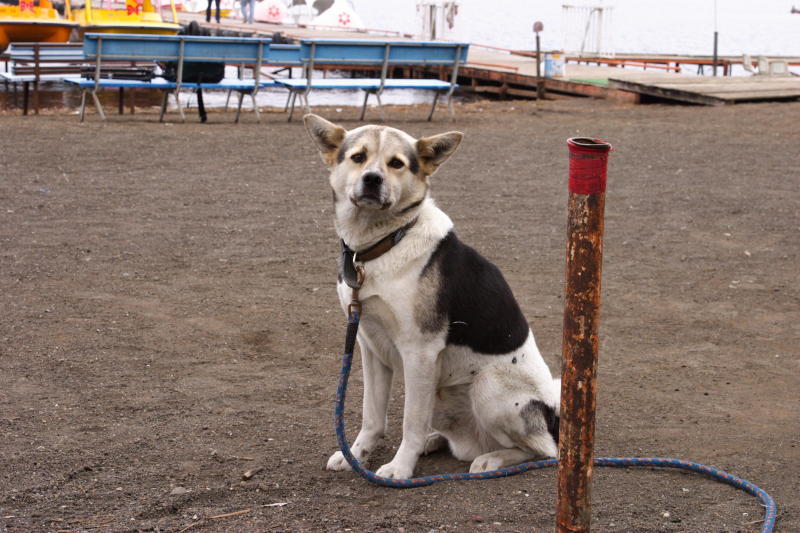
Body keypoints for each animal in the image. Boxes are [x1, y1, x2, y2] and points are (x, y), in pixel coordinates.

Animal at [304, 112, 560, 478]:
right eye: (358, 157)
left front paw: (399, 468)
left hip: (486, 386)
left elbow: (410, 422)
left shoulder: (419, 351)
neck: (385, 242)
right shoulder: (369, 345)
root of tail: (552, 414)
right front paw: (357, 455)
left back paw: (492, 460)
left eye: (396, 163)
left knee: (543, 450)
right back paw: (436, 440)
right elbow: (372, 417)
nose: (372, 179)